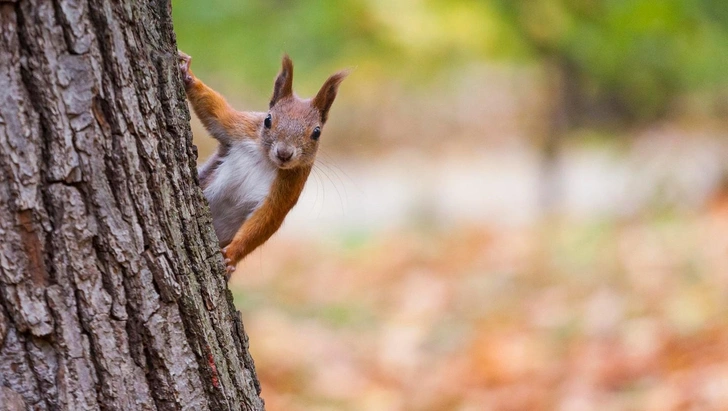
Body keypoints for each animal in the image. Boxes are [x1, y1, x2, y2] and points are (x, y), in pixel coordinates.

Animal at [177, 52, 346, 276]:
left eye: (317, 133)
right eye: (267, 120)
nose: (284, 153)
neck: (266, 159)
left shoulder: (289, 186)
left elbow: (267, 219)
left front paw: (232, 256)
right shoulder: (240, 127)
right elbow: (216, 112)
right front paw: (188, 75)